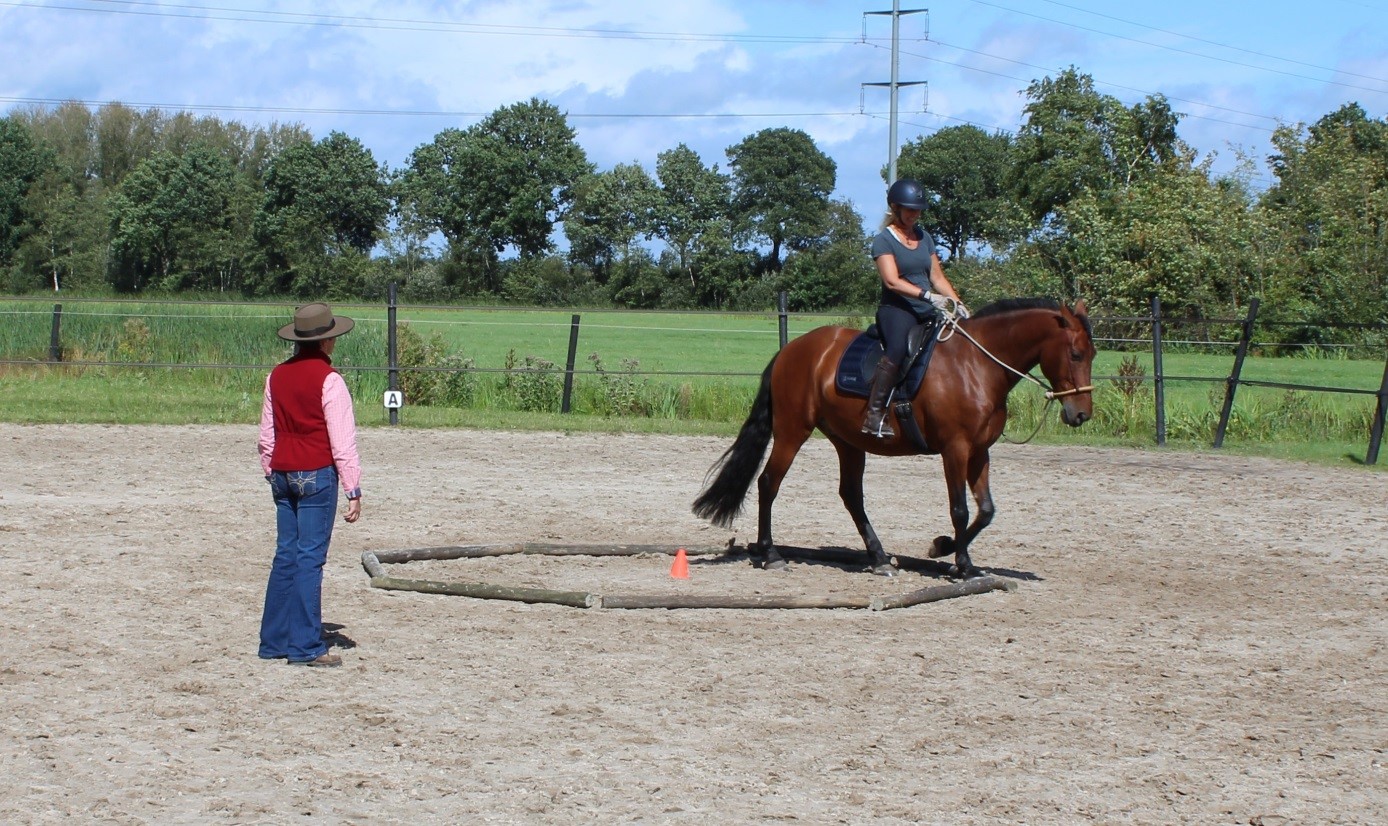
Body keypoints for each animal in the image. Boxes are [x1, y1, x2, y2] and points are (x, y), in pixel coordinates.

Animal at [694, 297, 1093, 574]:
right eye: (1075, 354)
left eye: (1092, 353)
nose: (1081, 414)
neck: (977, 367)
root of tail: (792, 350)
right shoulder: (956, 449)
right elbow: (961, 509)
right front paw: (960, 563)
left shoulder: (979, 452)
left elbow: (986, 511)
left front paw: (944, 548)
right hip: (793, 431)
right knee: (768, 484)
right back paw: (771, 554)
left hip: (848, 441)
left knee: (851, 496)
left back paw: (880, 558)